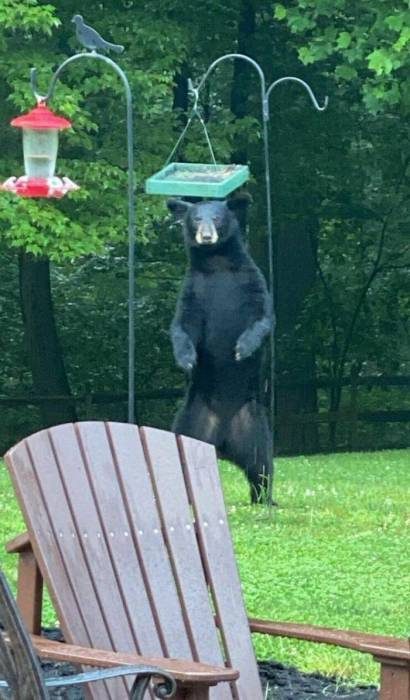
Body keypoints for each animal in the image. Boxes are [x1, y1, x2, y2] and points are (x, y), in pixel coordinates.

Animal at [168, 197, 274, 504]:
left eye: (216, 218)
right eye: (196, 218)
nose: (206, 236)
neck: (217, 265)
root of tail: (222, 444)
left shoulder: (252, 282)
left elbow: (263, 318)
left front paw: (243, 349)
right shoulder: (192, 291)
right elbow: (182, 325)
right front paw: (187, 359)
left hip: (254, 427)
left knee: (262, 465)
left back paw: (265, 499)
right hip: (189, 422)